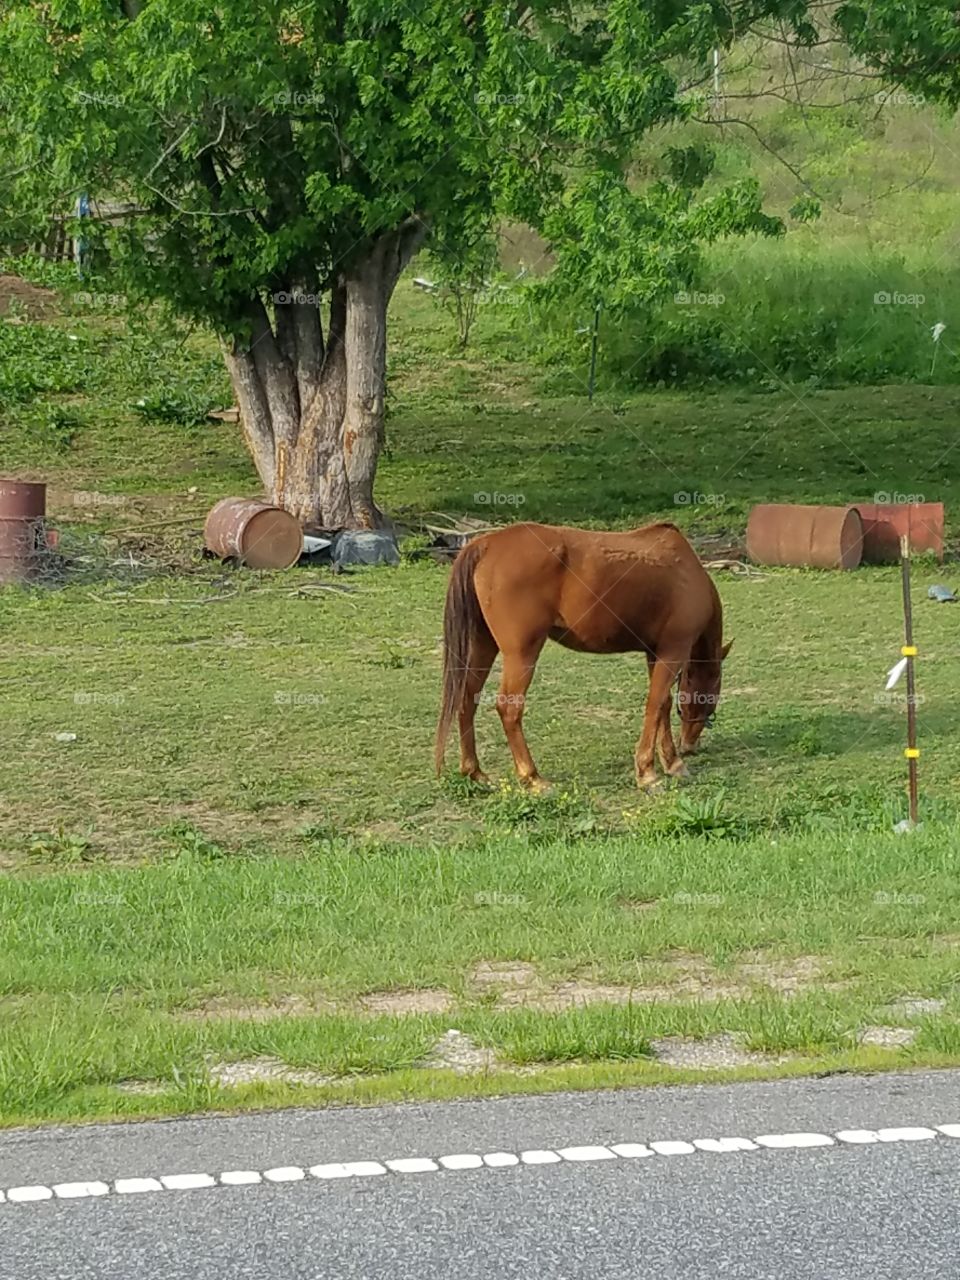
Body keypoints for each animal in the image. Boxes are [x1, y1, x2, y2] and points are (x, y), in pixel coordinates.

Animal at [434, 521, 731, 789]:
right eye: (711, 697)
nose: (690, 745)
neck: (686, 570)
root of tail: (485, 544)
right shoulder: (673, 650)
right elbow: (655, 704)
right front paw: (648, 772)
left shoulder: (654, 653)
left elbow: (664, 704)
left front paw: (671, 762)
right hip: (521, 653)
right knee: (509, 708)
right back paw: (533, 777)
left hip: (483, 645)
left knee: (466, 699)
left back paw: (474, 772)